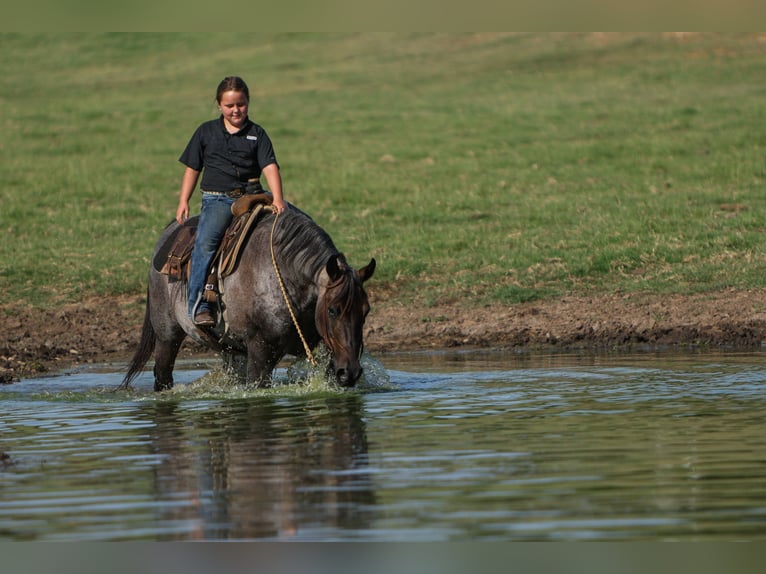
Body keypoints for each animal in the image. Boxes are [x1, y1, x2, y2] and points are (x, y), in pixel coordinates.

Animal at [119, 205, 378, 394]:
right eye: (333, 310)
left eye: (365, 312)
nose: (350, 372)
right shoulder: (260, 349)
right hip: (167, 337)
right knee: (163, 376)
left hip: (231, 350)